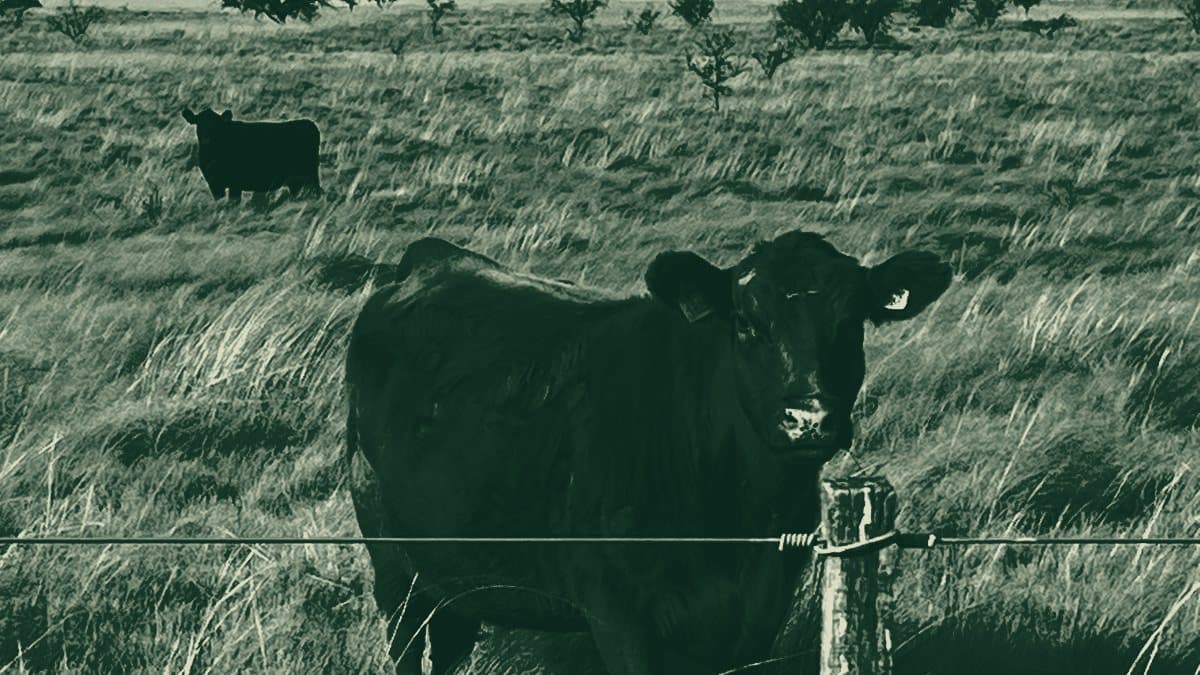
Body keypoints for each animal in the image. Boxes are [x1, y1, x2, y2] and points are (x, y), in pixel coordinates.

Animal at [180, 108, 320, 201]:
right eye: (199, 123)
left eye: (216, 124)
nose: (206, 138)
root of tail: (309, 123)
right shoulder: (215, 184)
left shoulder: (235, 184)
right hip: (296, 181)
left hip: (309, 175)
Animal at [345, 231, 952, 675]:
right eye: (746, 323)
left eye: (852, 324)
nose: (809, 420)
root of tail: (432, 258)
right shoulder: (620, 617)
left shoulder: (757, 614)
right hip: (393, 560)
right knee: (406, 643)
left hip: (457, 567)